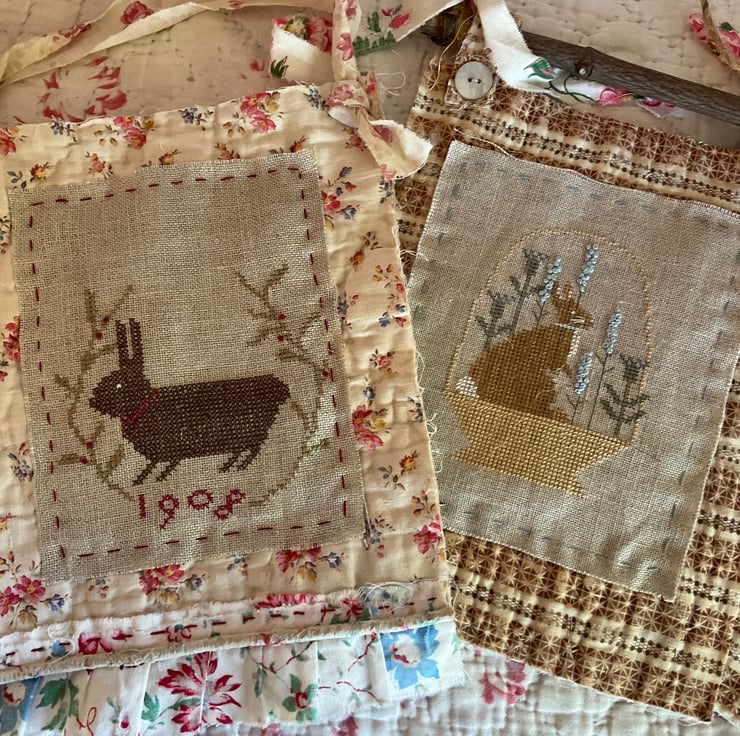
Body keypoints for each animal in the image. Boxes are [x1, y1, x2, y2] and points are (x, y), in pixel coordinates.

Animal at [89, 319, 290, 485]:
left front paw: (152, 478)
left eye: (118, 384)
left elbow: (165, 464)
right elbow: (155, 465)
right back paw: (228, 466)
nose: (92, 401)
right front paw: (143, 479)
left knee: (254, 448)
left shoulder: (172, 448)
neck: (144, 406)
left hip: (250, 432)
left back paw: (238, 466)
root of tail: (279, 388)